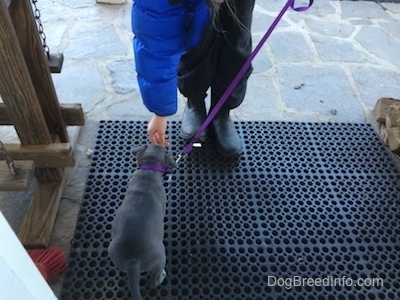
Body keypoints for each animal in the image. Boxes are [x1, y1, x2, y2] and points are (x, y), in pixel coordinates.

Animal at [108, 144, 175, 298]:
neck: (148, 170)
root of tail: (133, 260)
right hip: (160, 257)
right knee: (154, 280)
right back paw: (161, 276)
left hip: (114, 253)